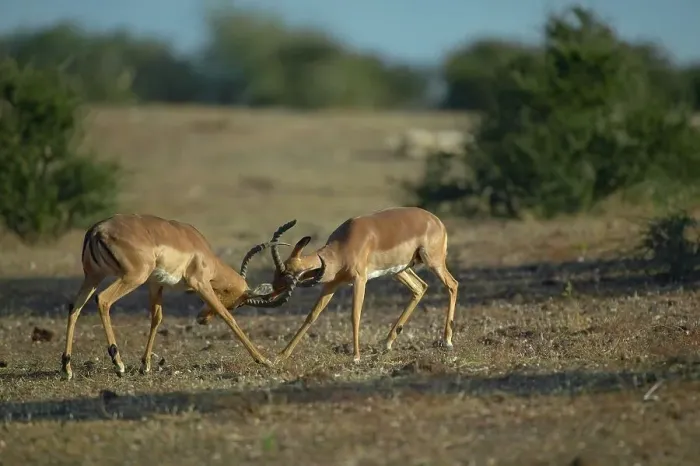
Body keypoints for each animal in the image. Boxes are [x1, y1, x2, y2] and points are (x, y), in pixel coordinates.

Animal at [61, 214, 304, 380]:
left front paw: (145, 365)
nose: (202, 319)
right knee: (103, 300)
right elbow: (228, 318)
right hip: (131, 278)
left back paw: (66, 368)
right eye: (238, 305)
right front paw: (264, 360)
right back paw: (118, 364)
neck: (201, 250)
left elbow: (156, 318)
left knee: (74, 307)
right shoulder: (200, 284)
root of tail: (96, 231)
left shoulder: (155, 284)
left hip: (93, 276)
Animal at [263, 206, 459, 363]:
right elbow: (312, 315)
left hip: (433, 262)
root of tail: (436, 220)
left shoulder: (360, 280)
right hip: (399, 271)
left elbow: (355, 316)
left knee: (452, 284)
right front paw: (282, 354)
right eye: (277, 270)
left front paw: (356, 356)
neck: (343, 246)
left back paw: (447, 341)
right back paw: (387, 343)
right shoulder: (331, 284)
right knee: (420, 287)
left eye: (289, 274)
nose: (271, 293)